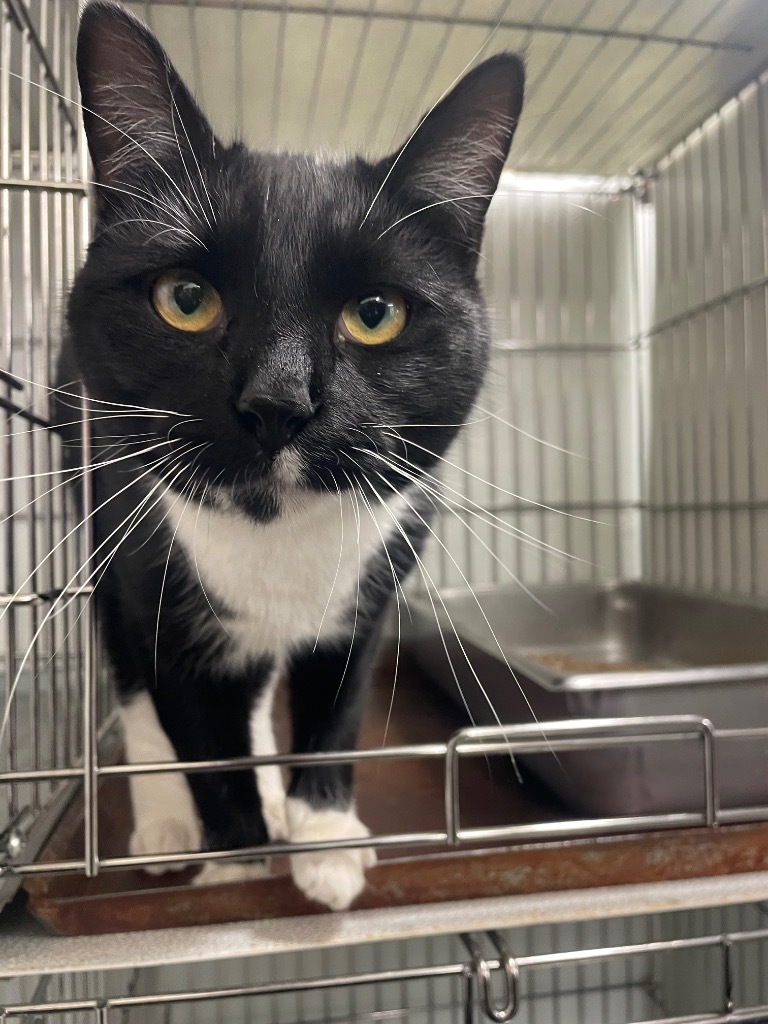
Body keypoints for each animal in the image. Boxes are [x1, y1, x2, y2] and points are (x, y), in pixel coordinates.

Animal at [60, 0, 528, 913]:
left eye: (376, 313)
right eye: (186, 299)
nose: (277, 403)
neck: (275, 530)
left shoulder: (366, 601)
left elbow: (334, 710)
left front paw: (325, 841)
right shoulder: (153, 584)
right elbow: (198, 737)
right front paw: (234, 864)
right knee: (135, 685)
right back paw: (166, 821)